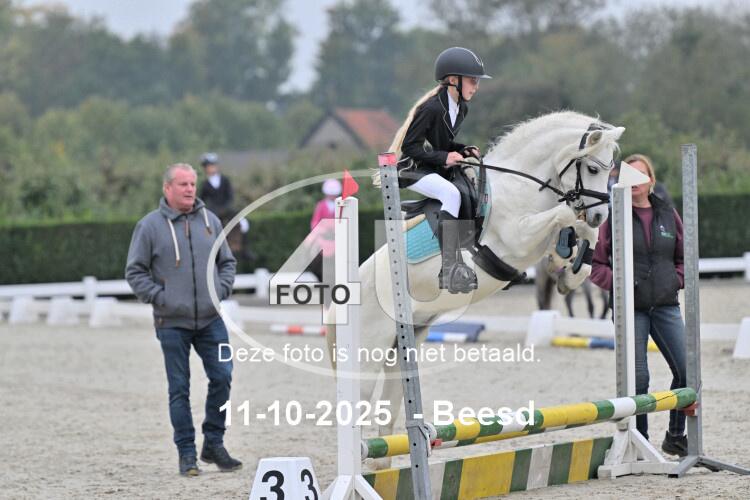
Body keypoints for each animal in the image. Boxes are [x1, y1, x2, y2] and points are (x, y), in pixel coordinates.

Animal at [326, 111, 624, 467]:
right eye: (592, 169)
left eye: (611, 169)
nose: (600, 214)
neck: (522, 185)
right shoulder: (519, 237)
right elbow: (564, 213)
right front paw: (568, 258)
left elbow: (578, 232)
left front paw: (568, 270)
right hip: (367, 356)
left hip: (401, 349)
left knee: (388, 415)